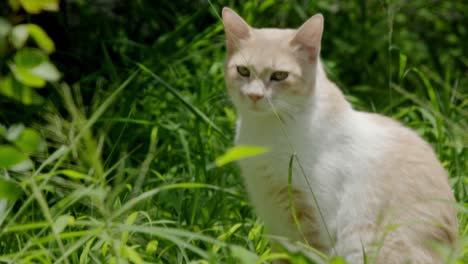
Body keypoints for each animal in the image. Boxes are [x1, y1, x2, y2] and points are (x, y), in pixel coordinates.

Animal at [222, 7, 458, 262]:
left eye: (280, 76)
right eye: (243, 71)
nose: (255, 96)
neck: (268, 130)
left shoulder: (314, 220)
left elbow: (311, 254)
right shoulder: (275, 219)